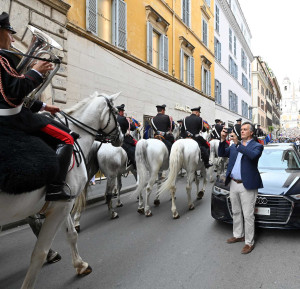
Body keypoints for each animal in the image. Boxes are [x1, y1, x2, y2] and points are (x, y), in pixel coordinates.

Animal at [0, 91, 122, 286]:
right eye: (116, 113)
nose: (121, 137)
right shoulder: (63, 204)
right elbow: (40, 252)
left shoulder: (62, 204)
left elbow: (70, 233)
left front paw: (80, 265)